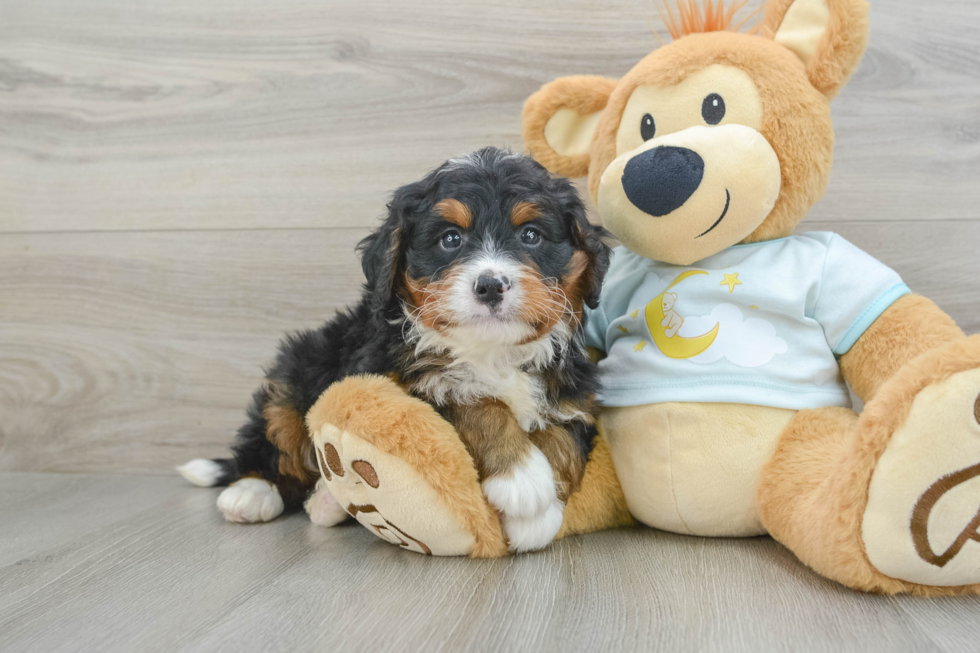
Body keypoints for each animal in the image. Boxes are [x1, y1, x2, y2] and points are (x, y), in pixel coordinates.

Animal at [175, 148, 604, 552]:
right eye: (450, 239)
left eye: (530, 235)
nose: (490, 285)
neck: (490, 351)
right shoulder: (396, 378)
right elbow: (474, 400)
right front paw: (522, 479)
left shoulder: (576, 393)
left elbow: (564, 439)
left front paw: (541, 516)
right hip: (299, 368)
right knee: (273, 437)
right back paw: (251, 491)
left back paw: (326, 501)